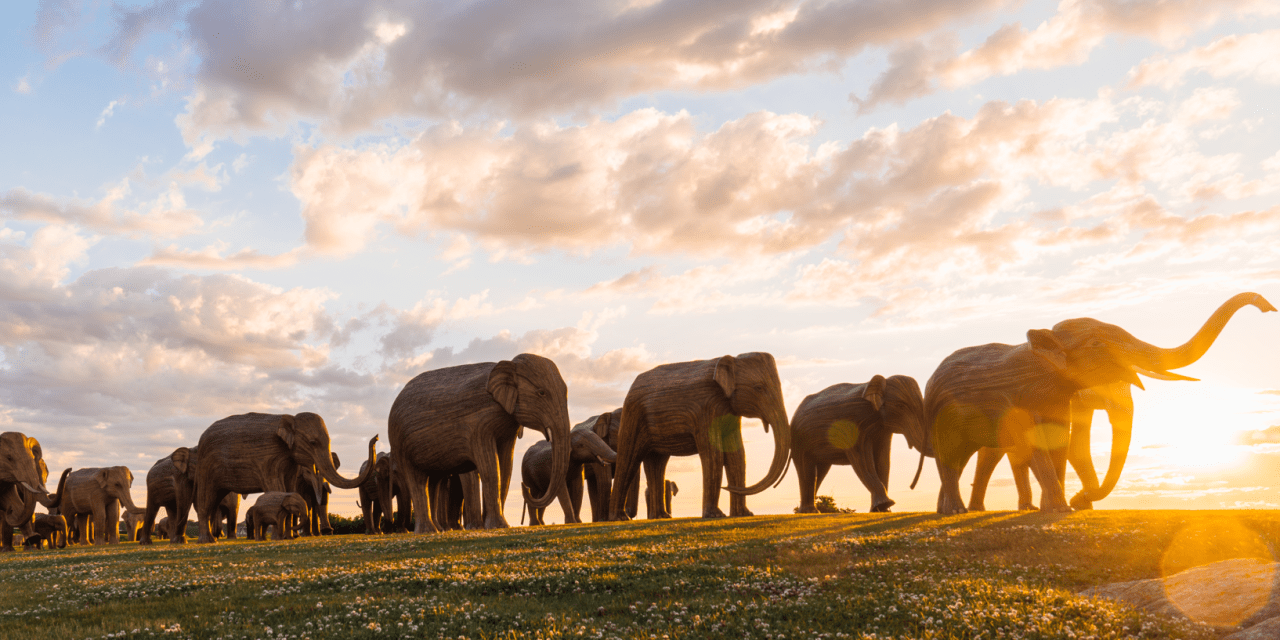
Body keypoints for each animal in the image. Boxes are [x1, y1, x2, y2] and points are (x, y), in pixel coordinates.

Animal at [192, 412, 377, 543]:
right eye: (312, 442)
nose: (375, 437)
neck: (290, 418)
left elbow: (289, 487)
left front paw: (288, 537)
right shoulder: (269, 457)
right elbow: (277, 487)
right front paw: (279, 538)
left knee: (213, 500)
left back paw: (212, 539)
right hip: (206, 466)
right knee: (206, 500)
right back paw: (207, 541)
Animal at [387, 353, 573, 532]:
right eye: (541, 393)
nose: (525, 487)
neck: (507, 365)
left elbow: (505, 469)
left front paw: (498, 526)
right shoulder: (479, 425)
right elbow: (490, 468)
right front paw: (499, 526)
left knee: (433, 482)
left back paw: (437, 530)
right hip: (400, 442)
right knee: (417, 480)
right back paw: (427, 531)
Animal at [608, 353, 792, 521]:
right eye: (759, 387)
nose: (727, 487)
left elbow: (738, 456)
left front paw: (744, 514)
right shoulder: (705, 410)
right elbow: (714, 454)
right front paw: (716, 516)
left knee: (656, 464)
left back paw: (661, 517)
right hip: (633, 414)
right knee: (629, 460)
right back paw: (620, 518)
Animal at [790, 375, 932, 514]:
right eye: (900, 406)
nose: (911, 486)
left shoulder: (883, 430)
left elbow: (883, 460)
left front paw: (881, 510)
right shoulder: (853, 422)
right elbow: (863, 459)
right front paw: (885, 505)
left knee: (819, 471)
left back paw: (809, 512)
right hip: (799, 440)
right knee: (806, 468)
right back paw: (808, 512)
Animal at [926, 291, 1276, 515]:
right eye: (1096, 344)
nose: (1267, 307)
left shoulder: (1061, 401)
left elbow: (1063, 442)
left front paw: (1063, 508)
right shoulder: (1020, 400)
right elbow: (1043, 445)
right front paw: (1063, 508)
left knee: (961, 460)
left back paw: (954, 511)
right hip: (943, 417)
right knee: (951, 459)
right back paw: (957, 512)